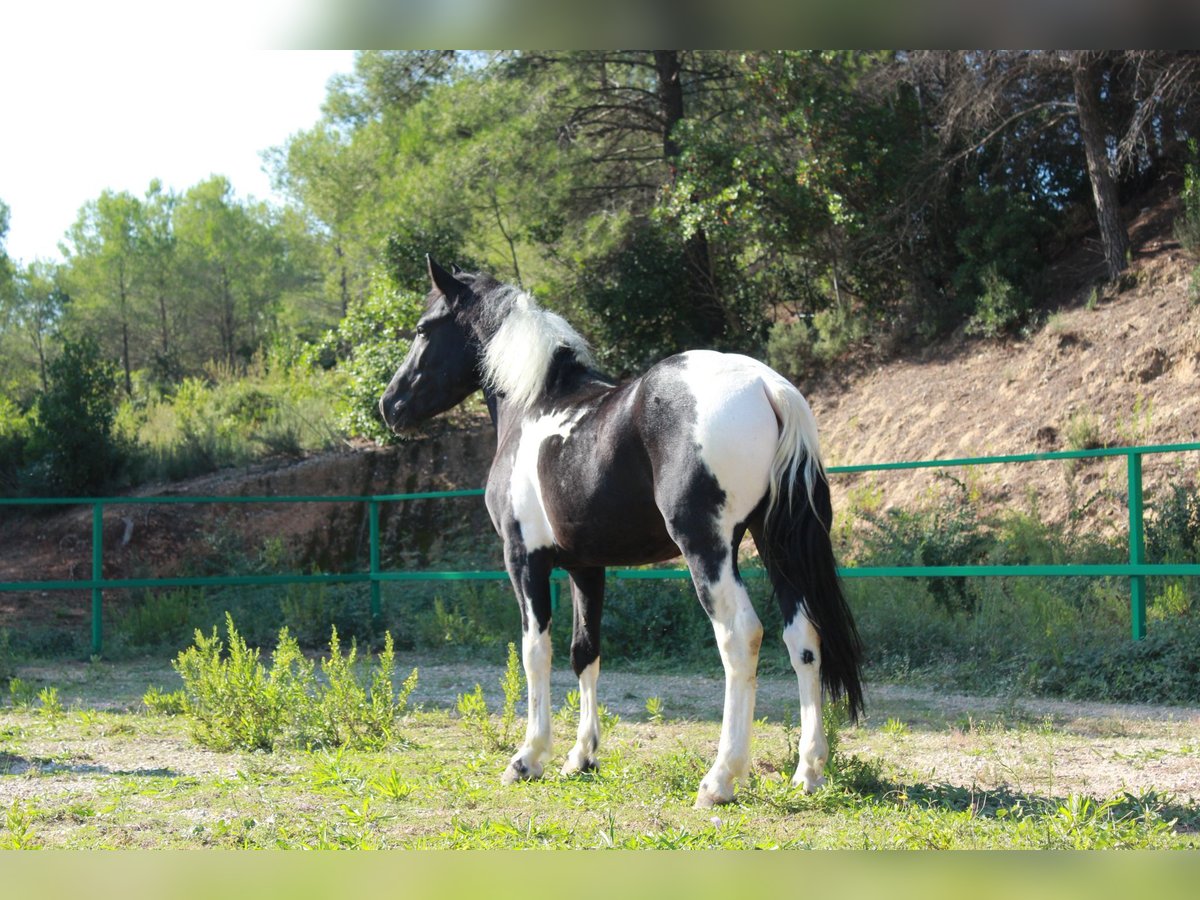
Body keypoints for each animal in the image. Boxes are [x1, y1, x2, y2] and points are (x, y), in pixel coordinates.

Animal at [380, 257, 863, 807]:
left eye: (423, 329)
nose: (390, 405)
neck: (535, 405)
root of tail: (765, 384)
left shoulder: (524, 559)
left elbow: (535, 652)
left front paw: (528, 758)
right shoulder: (587, 567)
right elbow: (584, 652)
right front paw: (580, 757)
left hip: (709, 550)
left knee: (740, 637)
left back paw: (719, 779)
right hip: (774, 545)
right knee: (802, 638)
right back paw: (808, 772)